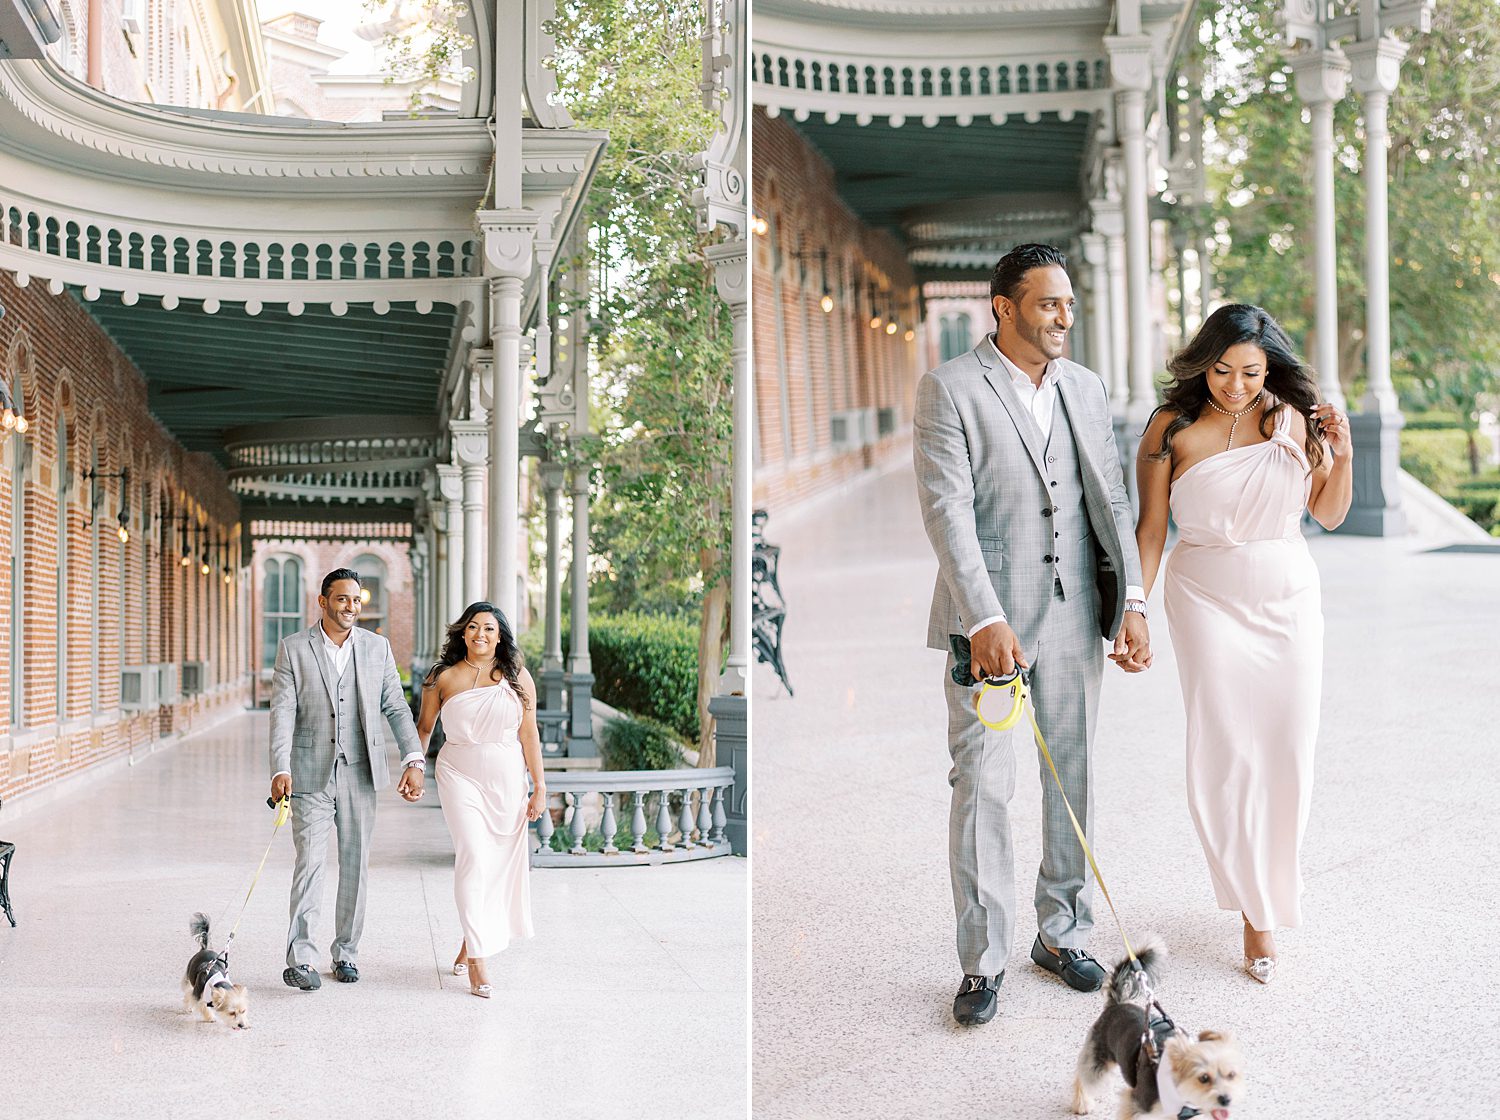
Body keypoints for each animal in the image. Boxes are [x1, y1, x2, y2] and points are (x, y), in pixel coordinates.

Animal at [1074, 935, 1248, 1120]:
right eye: (1203, 1078)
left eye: (1231, 1075)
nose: (1226, 1099)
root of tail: (1115, 1004)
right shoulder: (1137, 1103)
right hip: (1098, 1062)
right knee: (1082, 1076)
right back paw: (1082, 1103)